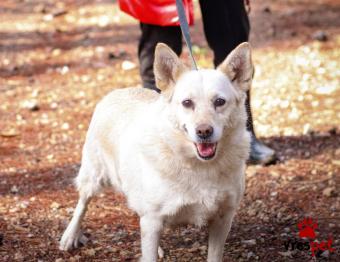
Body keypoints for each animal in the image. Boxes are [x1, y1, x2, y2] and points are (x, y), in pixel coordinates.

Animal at [60, 42, 252, 260]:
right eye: (187, 103)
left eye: (219, 102)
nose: (204, 131)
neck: (198, 165)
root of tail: (118, 91)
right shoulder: (152, 221)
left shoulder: (223, 219)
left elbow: (214, 256)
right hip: (93, 176)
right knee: (82, 203)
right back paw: (70, 235)